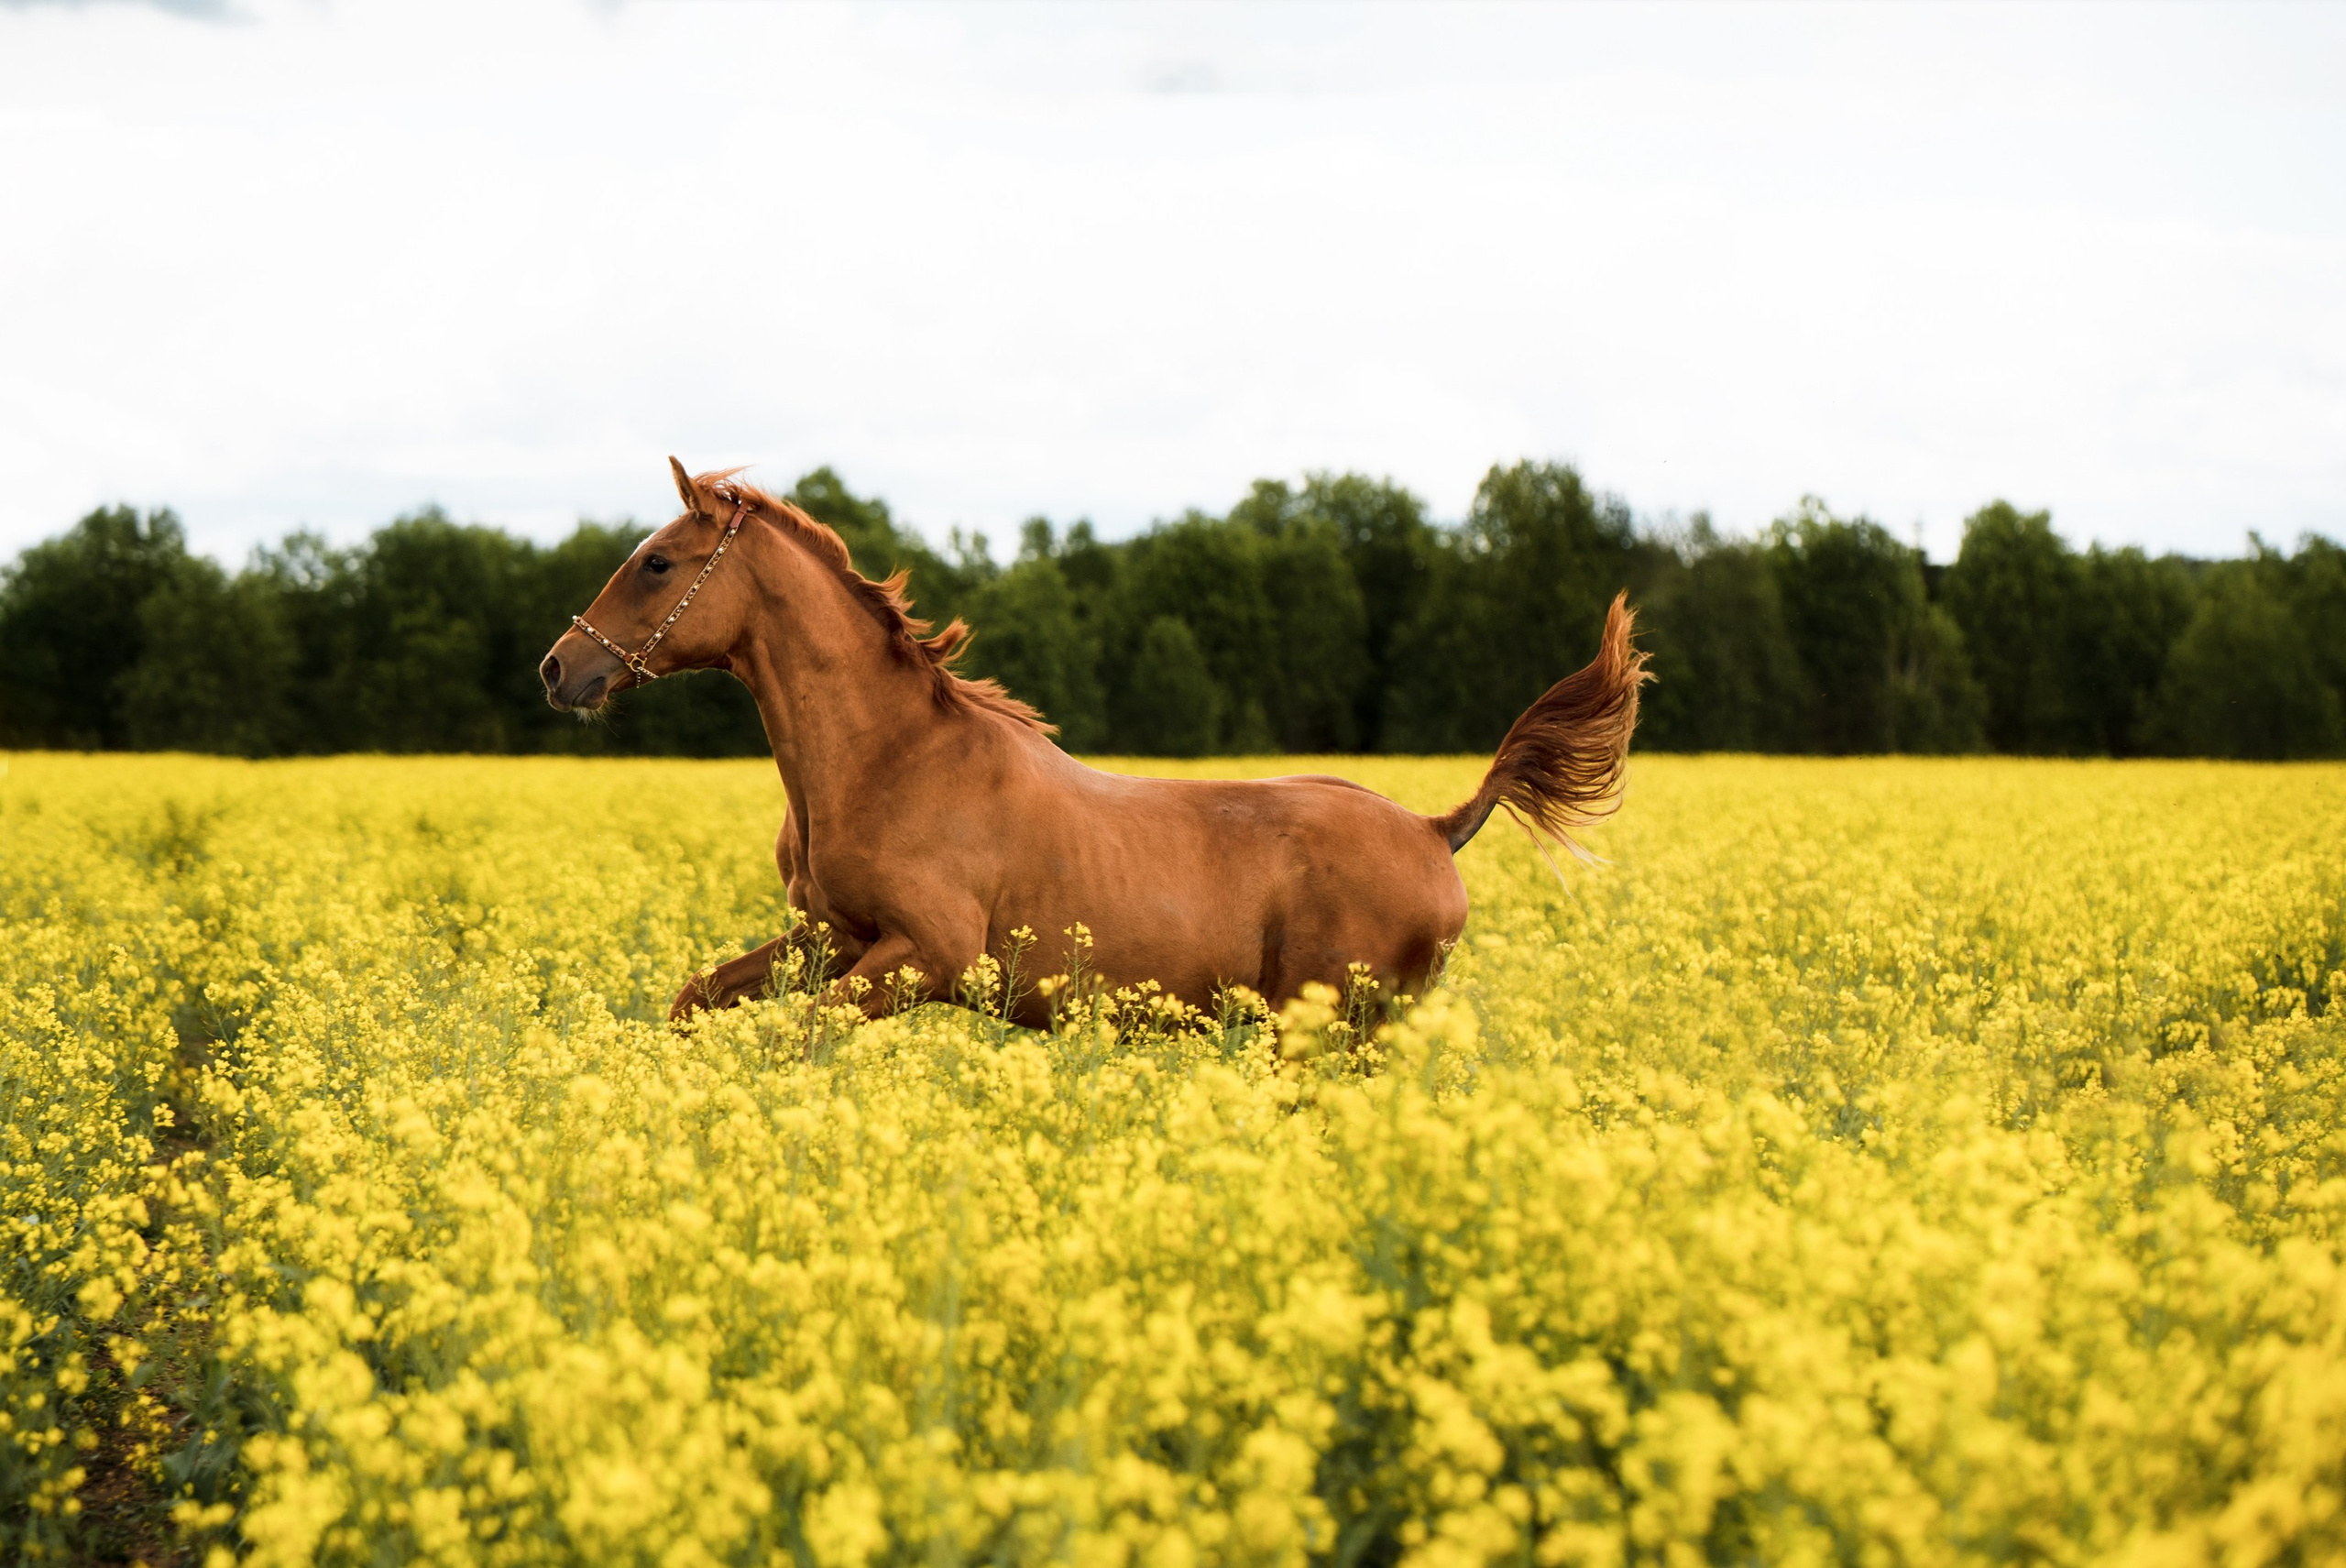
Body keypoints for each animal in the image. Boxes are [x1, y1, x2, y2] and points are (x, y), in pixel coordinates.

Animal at [539, 460, 1649, 1028]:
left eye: (656, 562)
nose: (560, 667)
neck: (886, 761)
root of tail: (1436, 828)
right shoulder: (830, 940)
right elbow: (701, 998)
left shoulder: (928, 956)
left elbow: (802, 1031)